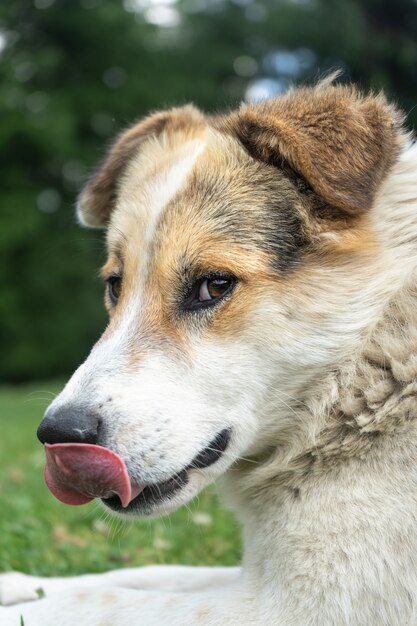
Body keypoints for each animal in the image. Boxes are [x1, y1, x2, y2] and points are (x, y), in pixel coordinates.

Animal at [0, 79, 416, 624]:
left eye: (213, 286)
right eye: (115, 286)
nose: (58, 434)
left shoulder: (304, 608)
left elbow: (100, 601)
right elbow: (142, 575)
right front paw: (18, 584)